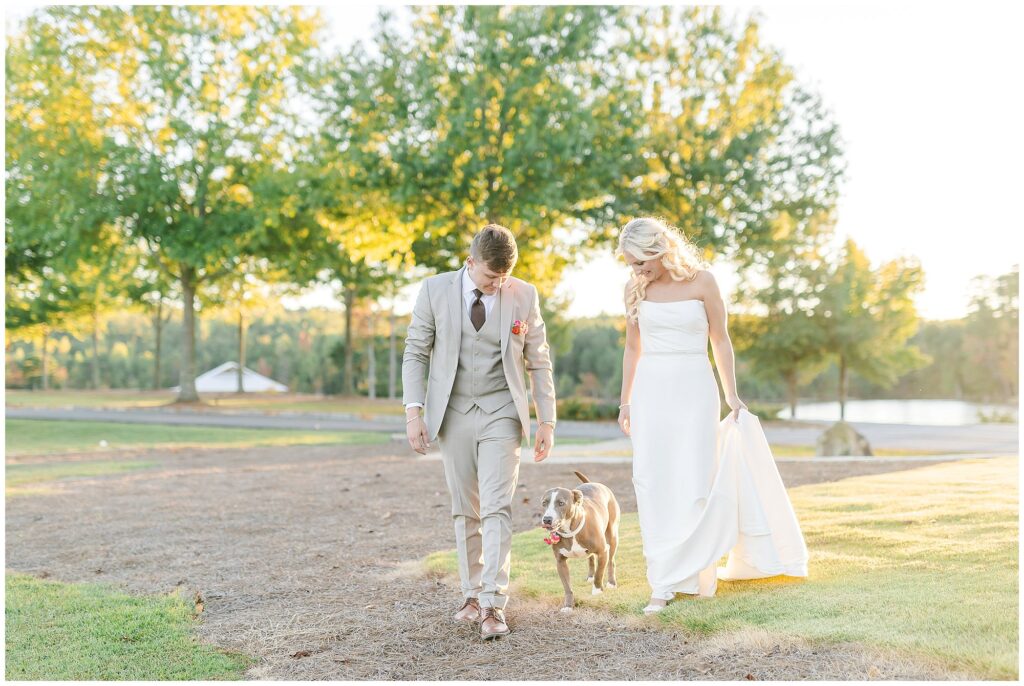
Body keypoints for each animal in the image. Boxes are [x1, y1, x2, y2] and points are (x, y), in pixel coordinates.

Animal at [540, 473, 618, 614]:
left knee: (611, 561)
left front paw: (597, 591)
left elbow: (600, 573)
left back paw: (611, 583)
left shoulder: (603, 552)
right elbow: (567, 587)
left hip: (612, 535)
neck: (570, 531)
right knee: (591, 559)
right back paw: (590, 576)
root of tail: (593, 483)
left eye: (561, 503)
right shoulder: (560, 562)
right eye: (544, 503)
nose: (547, 519)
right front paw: (568, 605)